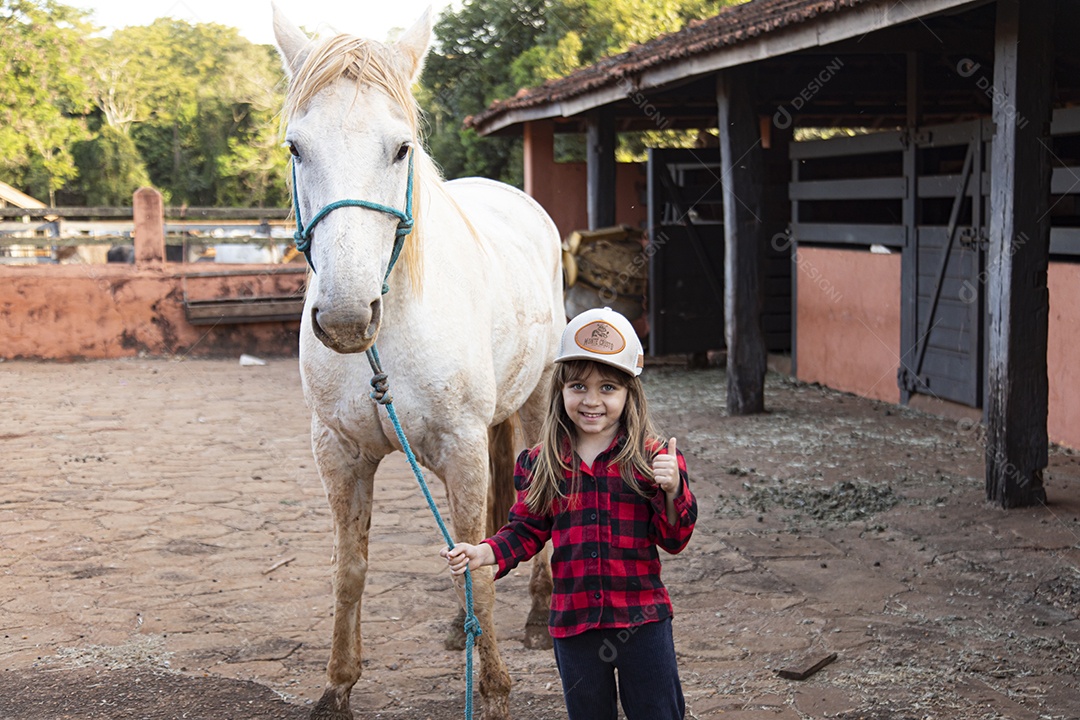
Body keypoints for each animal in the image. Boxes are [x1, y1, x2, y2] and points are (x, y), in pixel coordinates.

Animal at [272, 6, 563, 719]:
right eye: (296, 148)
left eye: (400, 147)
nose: (346, 317)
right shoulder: (339, 451)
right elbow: (350, 571)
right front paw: (337, 687)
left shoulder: (461, 445)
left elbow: (481, 574)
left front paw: (493, 692)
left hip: (538, 394)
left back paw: (537, 617)